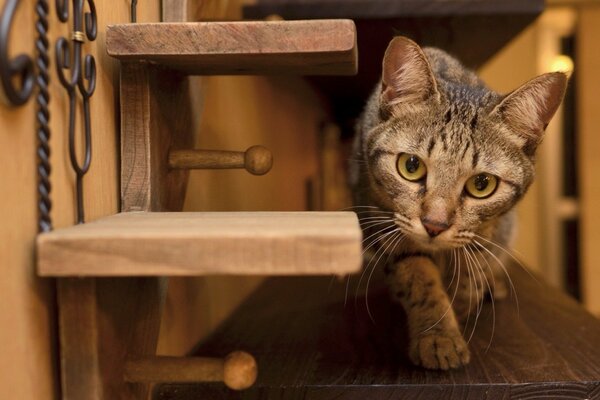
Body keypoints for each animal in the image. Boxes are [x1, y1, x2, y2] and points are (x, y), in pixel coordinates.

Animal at [350, 36, 564, 370]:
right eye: (411, 166)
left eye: (482, 185)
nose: (434, 225)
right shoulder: (385, 221)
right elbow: (418, 278)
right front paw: (438, 335)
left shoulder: (487, 231)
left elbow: (469, 273)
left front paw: (460, 306)